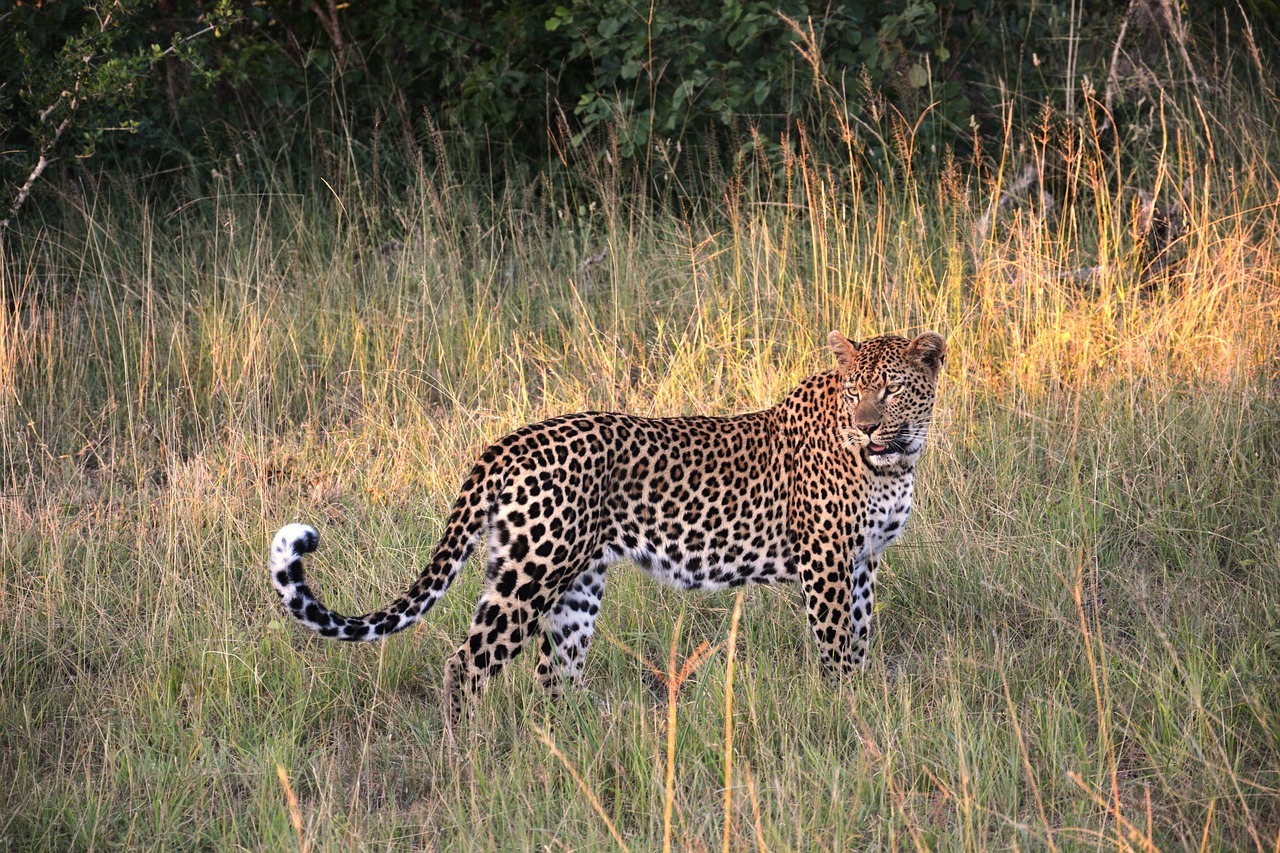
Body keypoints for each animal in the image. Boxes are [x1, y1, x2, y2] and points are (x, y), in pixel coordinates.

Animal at [268, 330, 946, 725]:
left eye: (889, 390)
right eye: (855, 391)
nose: (865, 426)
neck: (897, 460)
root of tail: (508, 442)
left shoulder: (863, 561)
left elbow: (860, 636)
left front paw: (862, 700)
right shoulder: (826, 560)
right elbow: (837, 647)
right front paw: (844, 710)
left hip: (575, 585)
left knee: (554, 673)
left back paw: (567, 750)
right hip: (532, 573)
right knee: (467, 663)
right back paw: (466, 761)